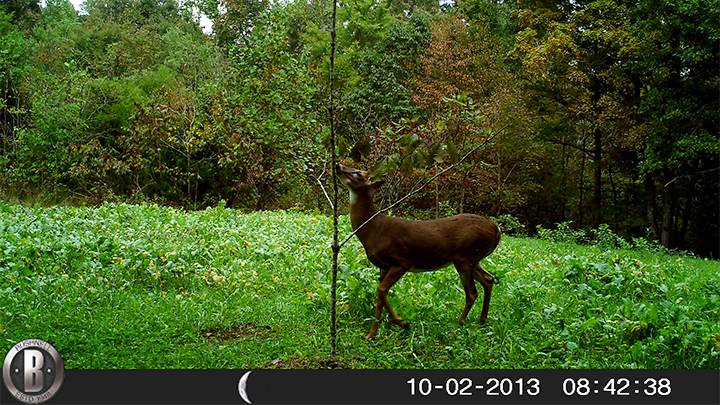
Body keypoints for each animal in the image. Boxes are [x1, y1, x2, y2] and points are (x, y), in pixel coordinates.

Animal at [336, 163, 500, 340]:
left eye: (359, 173)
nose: (338, 165)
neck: (372, 229)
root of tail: (497, 229)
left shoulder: (401, 261)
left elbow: (381, 291)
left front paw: (401, 323)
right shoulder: (383, 266)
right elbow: (380, 296)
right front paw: (372, 334)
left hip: (465, 256)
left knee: (472, 293)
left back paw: (457, 327)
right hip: (472, 259)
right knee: (489, 279)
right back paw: (481, 321)